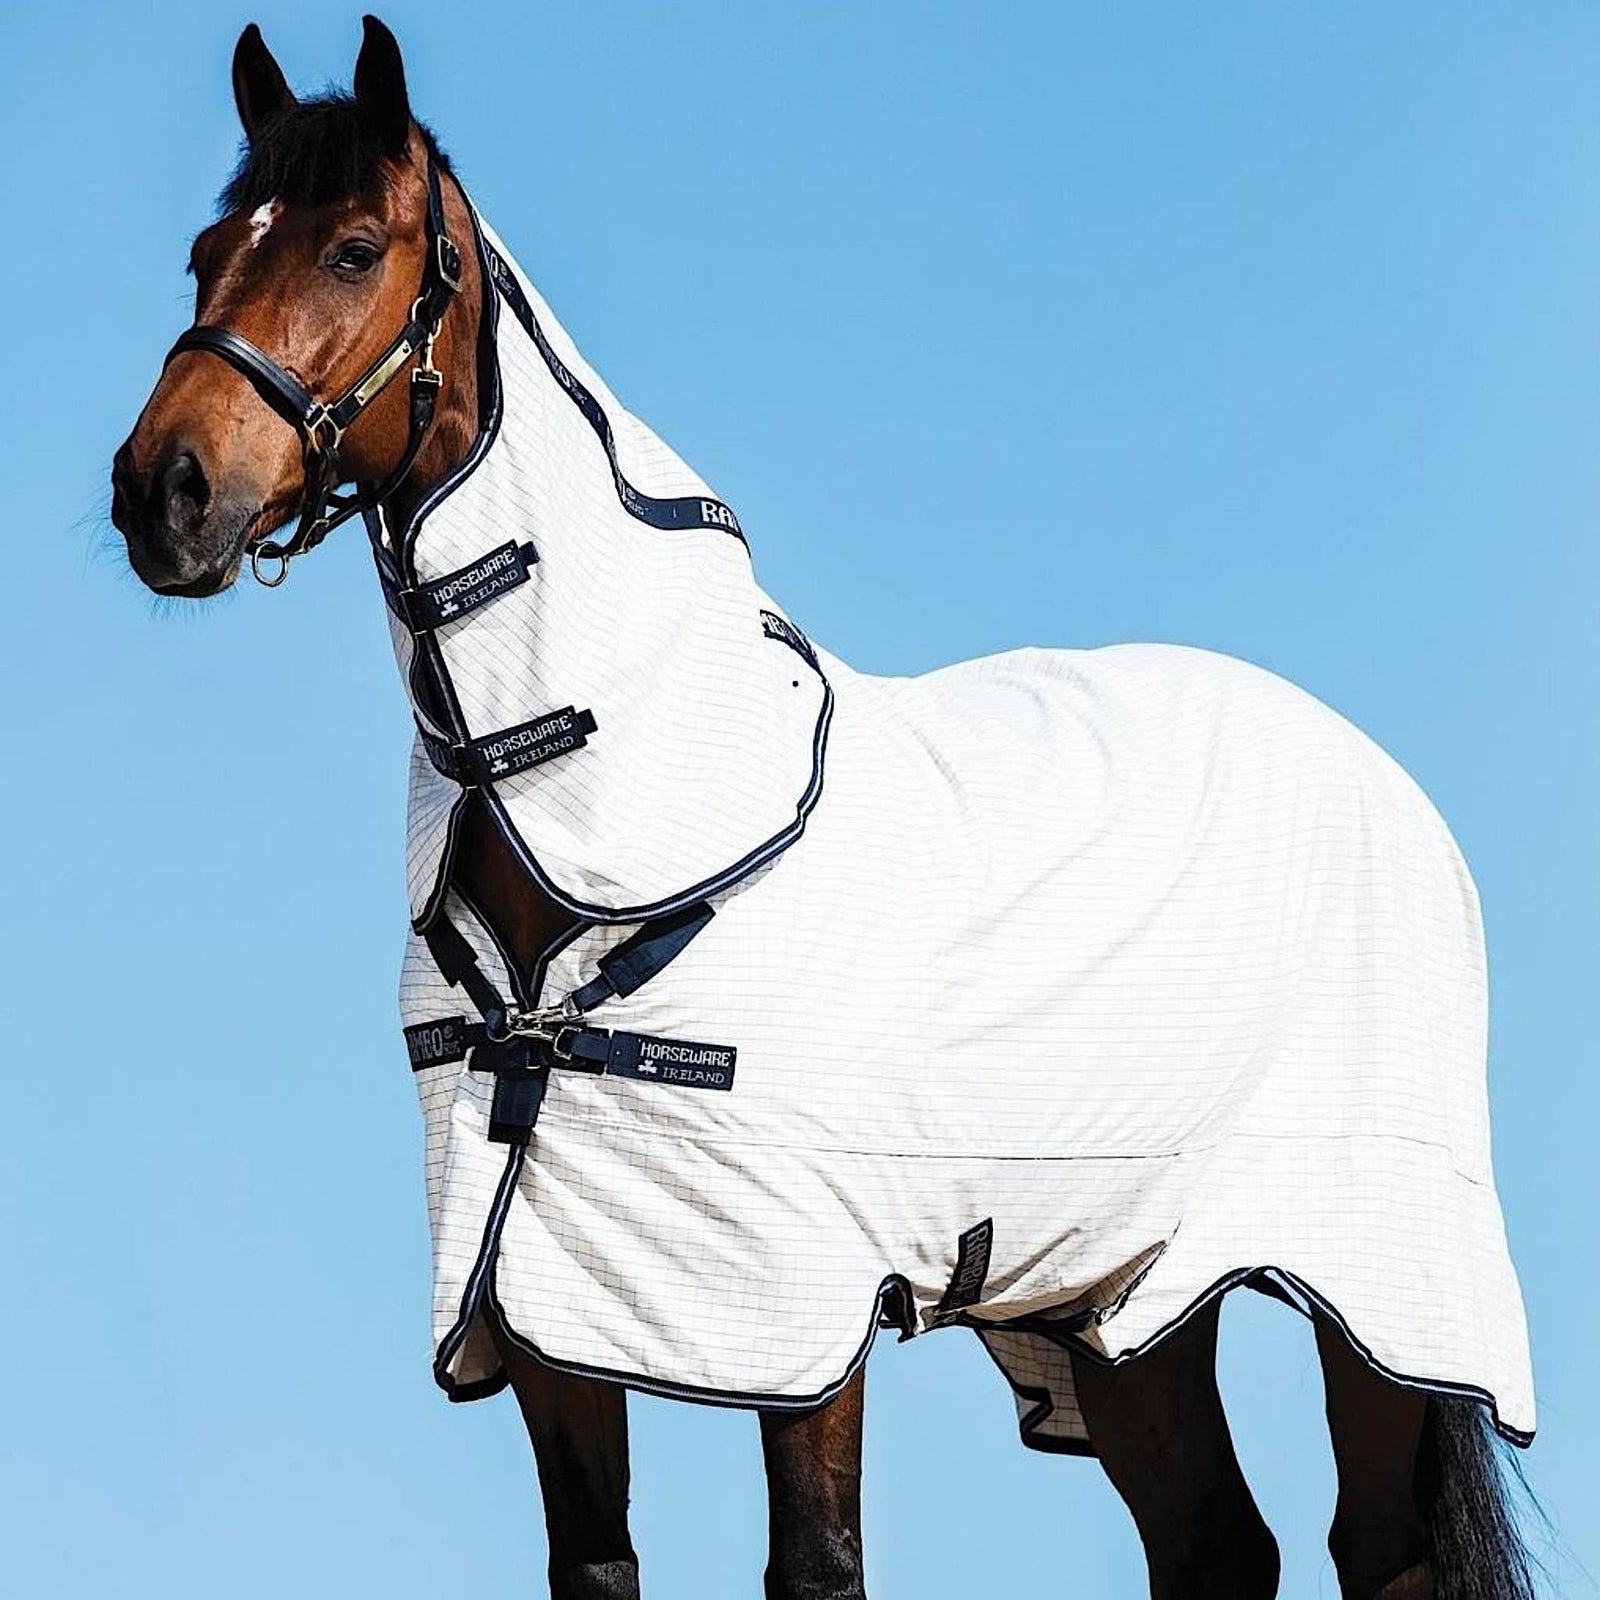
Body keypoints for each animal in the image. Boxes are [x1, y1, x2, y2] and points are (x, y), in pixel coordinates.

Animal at [110, 19, 1538, 1600]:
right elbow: (595, 1563)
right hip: (1121, 1300)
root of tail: (1384, 781)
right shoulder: (541, 1301)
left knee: (1381, 1547)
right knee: (1216, 1545)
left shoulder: (797, 1309)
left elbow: (817, 1562)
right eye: (203, 254)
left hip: (1380, 1289)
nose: (162, 492)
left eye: (356, 248)